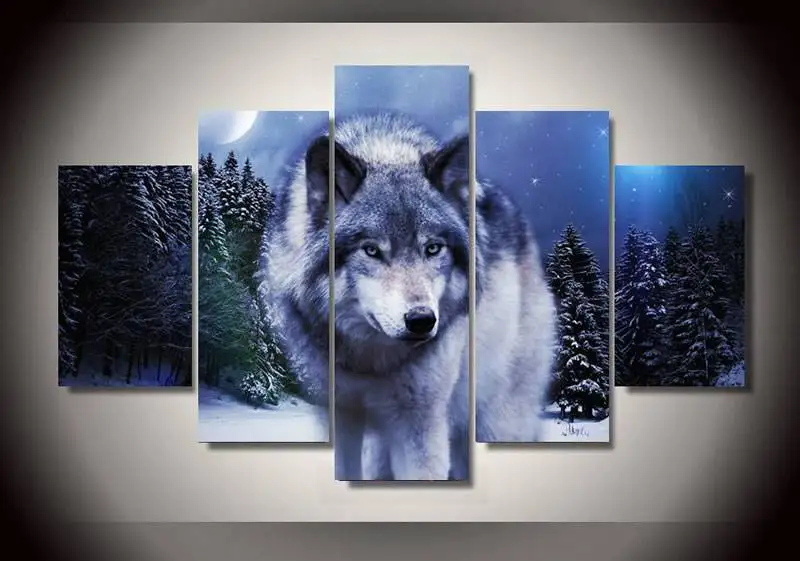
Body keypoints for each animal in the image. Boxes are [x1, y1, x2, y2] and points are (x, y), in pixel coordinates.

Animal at [259, 113, 556, 481]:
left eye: (433, 248)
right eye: (372, 250)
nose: (421, 320)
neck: (368, 363)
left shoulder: (420, 424)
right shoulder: (338, 414)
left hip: (498, 418)